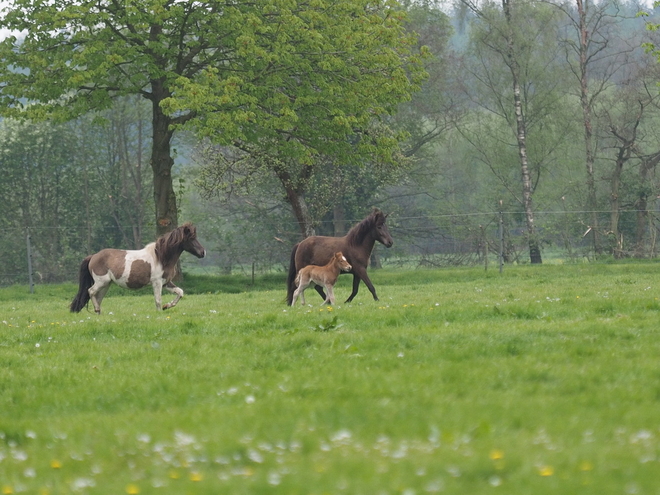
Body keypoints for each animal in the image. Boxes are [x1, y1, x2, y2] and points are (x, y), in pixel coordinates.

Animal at [68, 224, 205, 314]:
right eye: (191, 238)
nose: (203, 253)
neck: (161, 257)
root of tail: (93, 256)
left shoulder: (166, 283)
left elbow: (180, 292)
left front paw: (167, 306)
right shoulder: (157, 283)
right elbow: (158, 300)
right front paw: (160, 312)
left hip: (106, 284)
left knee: (97, 297)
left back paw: (98, 313)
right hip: (102, 282)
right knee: (90, 291)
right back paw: (97, 310)